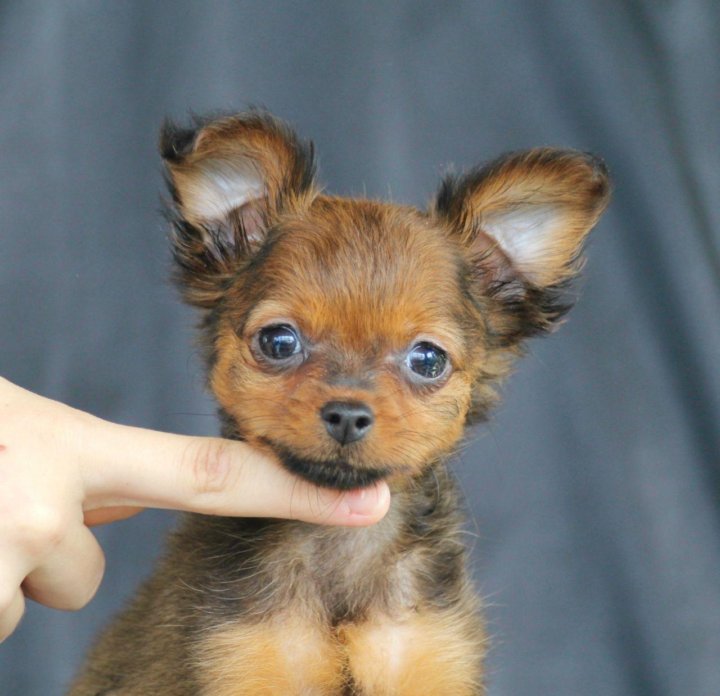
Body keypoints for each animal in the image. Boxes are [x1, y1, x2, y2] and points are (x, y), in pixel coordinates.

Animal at [67, 111, 612, 692]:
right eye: (278, 342)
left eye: (428, 360)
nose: (347, 415)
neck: (338, 549)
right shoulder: (239, 658)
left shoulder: (427, 656)